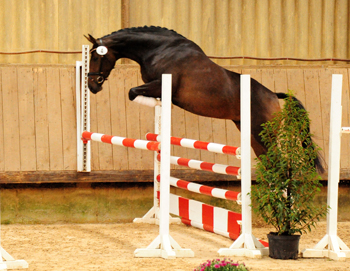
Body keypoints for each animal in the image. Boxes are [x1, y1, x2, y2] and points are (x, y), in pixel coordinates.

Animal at [86, 26, 324, 173]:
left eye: (96, 56)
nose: (92, 86)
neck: (159, 49)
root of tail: (274, 96)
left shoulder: (162, 84)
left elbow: (132, 91)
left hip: (262, 134)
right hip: (253, 136)